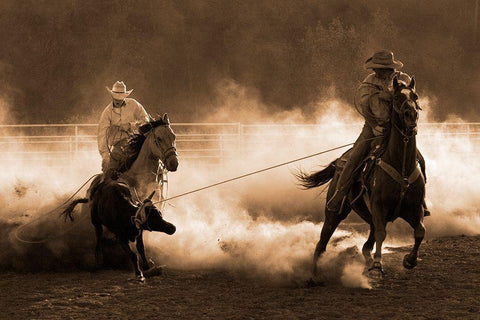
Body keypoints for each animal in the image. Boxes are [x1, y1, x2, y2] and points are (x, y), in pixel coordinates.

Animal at [298, 77, 426, 278]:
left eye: (415, 96)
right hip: (335, 213)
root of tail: (340, 161)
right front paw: (377, 267)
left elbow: (420, 231)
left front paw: (409, 260)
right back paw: (313, 277)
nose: (410, 115)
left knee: (366, 245)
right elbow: (382, 234)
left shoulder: (414, 208)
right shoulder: (379, 207)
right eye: (396, 97)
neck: (402, 165)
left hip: (370, 215)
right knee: (322, 243)